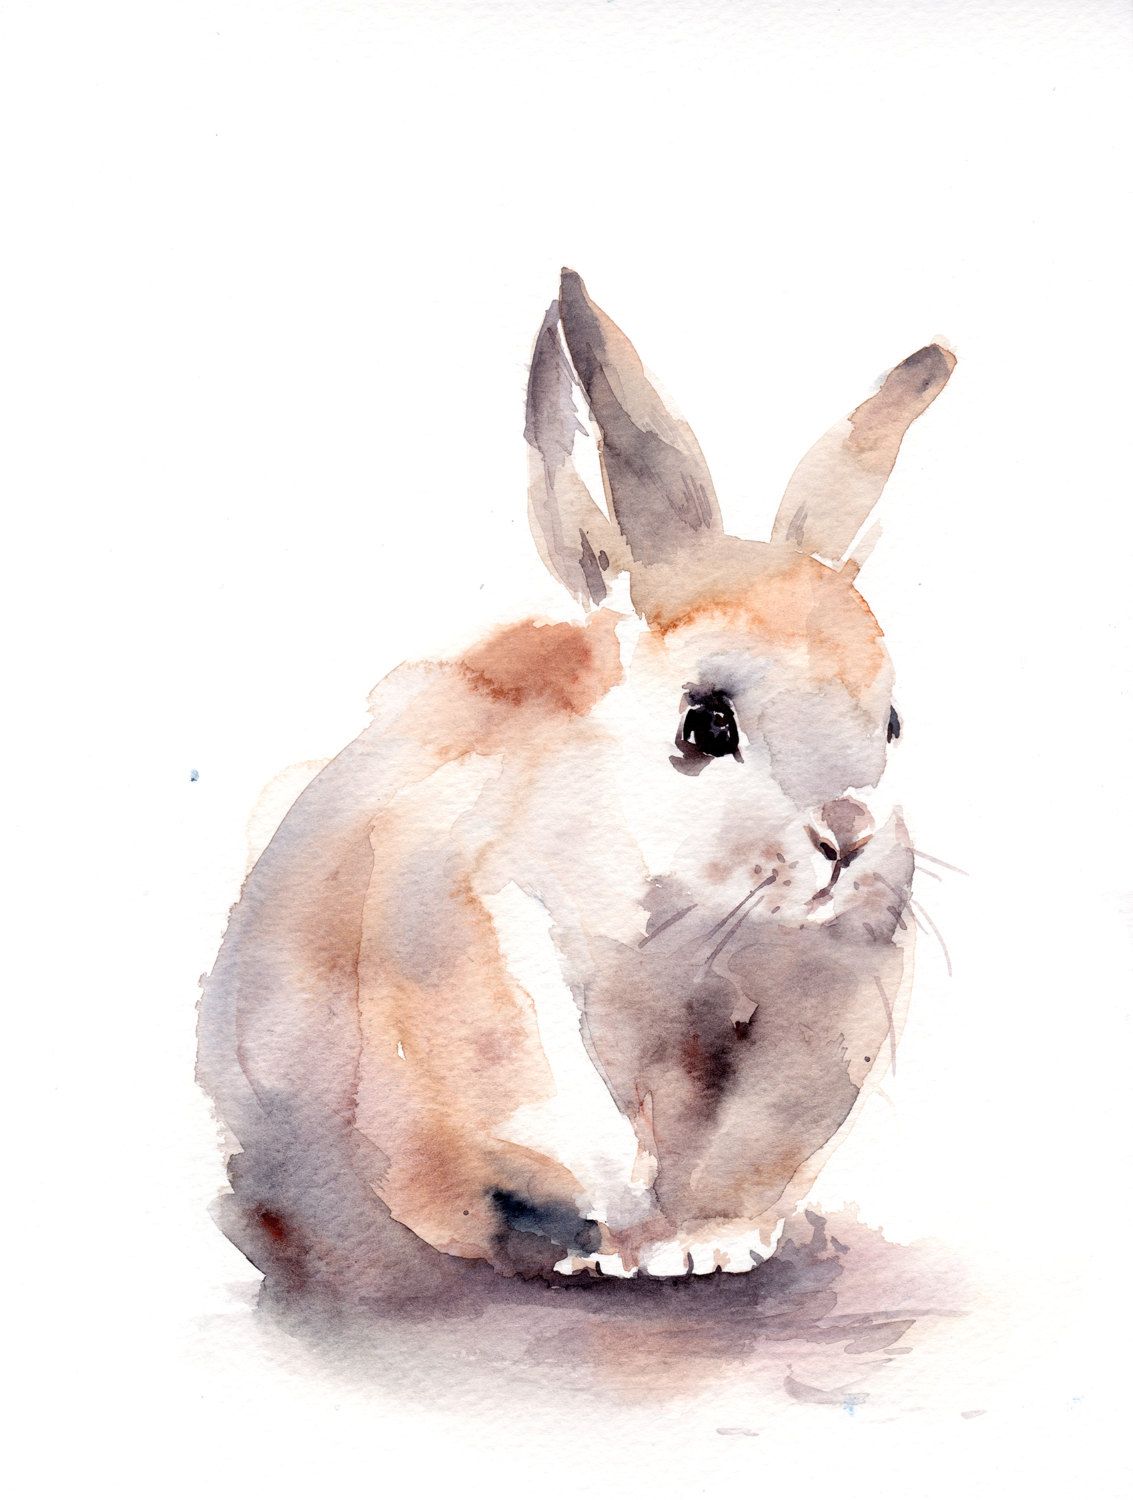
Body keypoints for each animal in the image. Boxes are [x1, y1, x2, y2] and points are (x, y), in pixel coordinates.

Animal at [197, 269, 954, 1293]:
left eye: (892, 722)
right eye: (705, 722)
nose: (848, 836)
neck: (697, 925)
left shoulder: (816, 1037)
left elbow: (743, 1157)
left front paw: (713, 1246)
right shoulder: (483, 967)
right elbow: (580, 1139)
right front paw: (629, 1250)